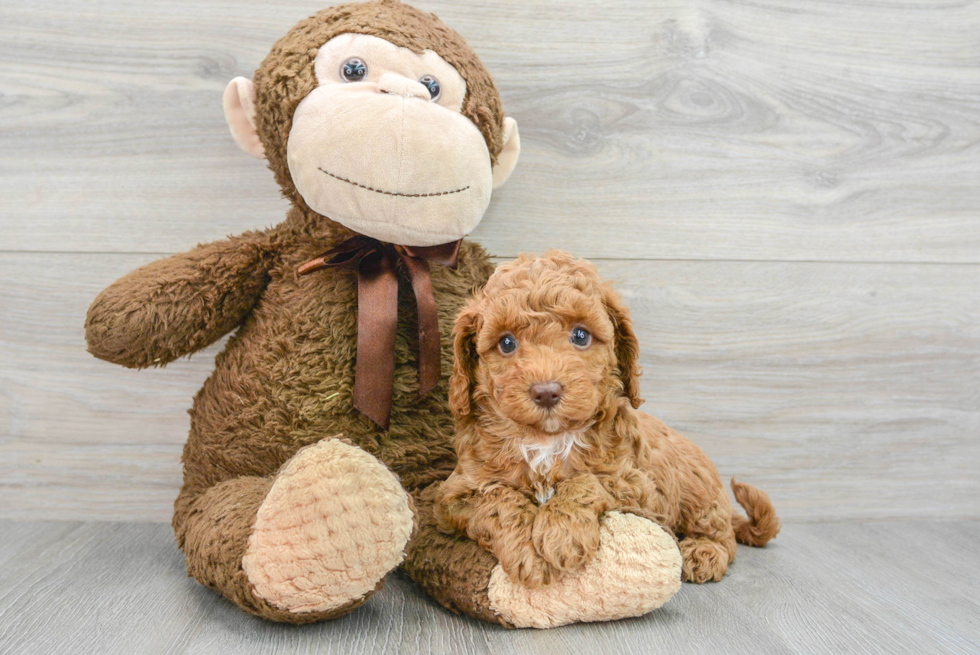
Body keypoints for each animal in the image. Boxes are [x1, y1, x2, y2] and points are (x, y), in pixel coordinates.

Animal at [436, 251, 780, 588]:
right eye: (506, 343)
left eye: (580, 336)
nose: (546, 392)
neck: (547, 440)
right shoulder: (454, 495)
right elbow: (498, 500)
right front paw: (528, 554)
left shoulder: (637, 484)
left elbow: (585, 480)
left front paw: (561, 534)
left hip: (698, 490)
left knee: (723, 535)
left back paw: (704, 552)